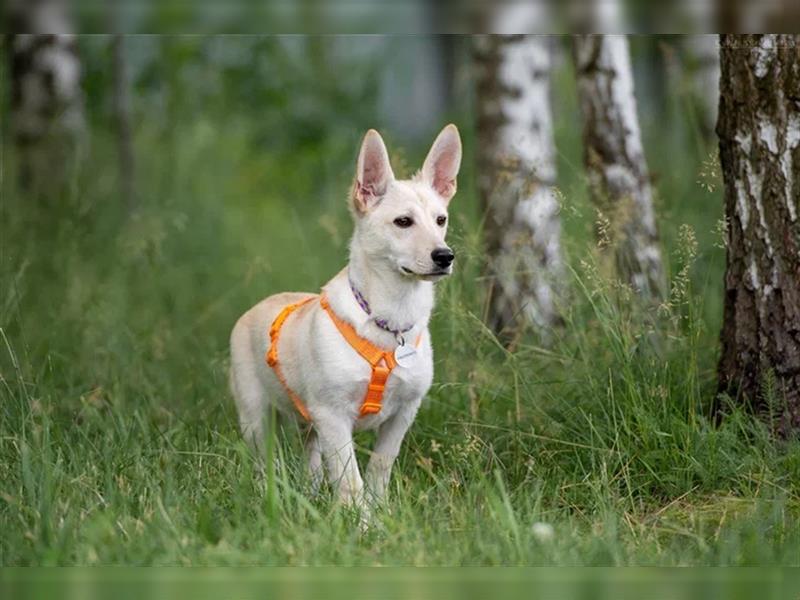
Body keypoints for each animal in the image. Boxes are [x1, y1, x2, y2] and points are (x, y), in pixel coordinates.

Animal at [228, 123, 462, 510]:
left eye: (441, 220)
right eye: (403, 222)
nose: (445, 256)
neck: (391, 319)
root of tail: (259, 305)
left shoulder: (403, 414)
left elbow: (379, 469)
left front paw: (379, 513)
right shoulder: (333, 416)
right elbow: (350, 481)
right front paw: (358, 520)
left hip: (309, 423)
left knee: (310, 461)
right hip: (256, 417)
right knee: (263, 464)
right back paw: (268, 499)